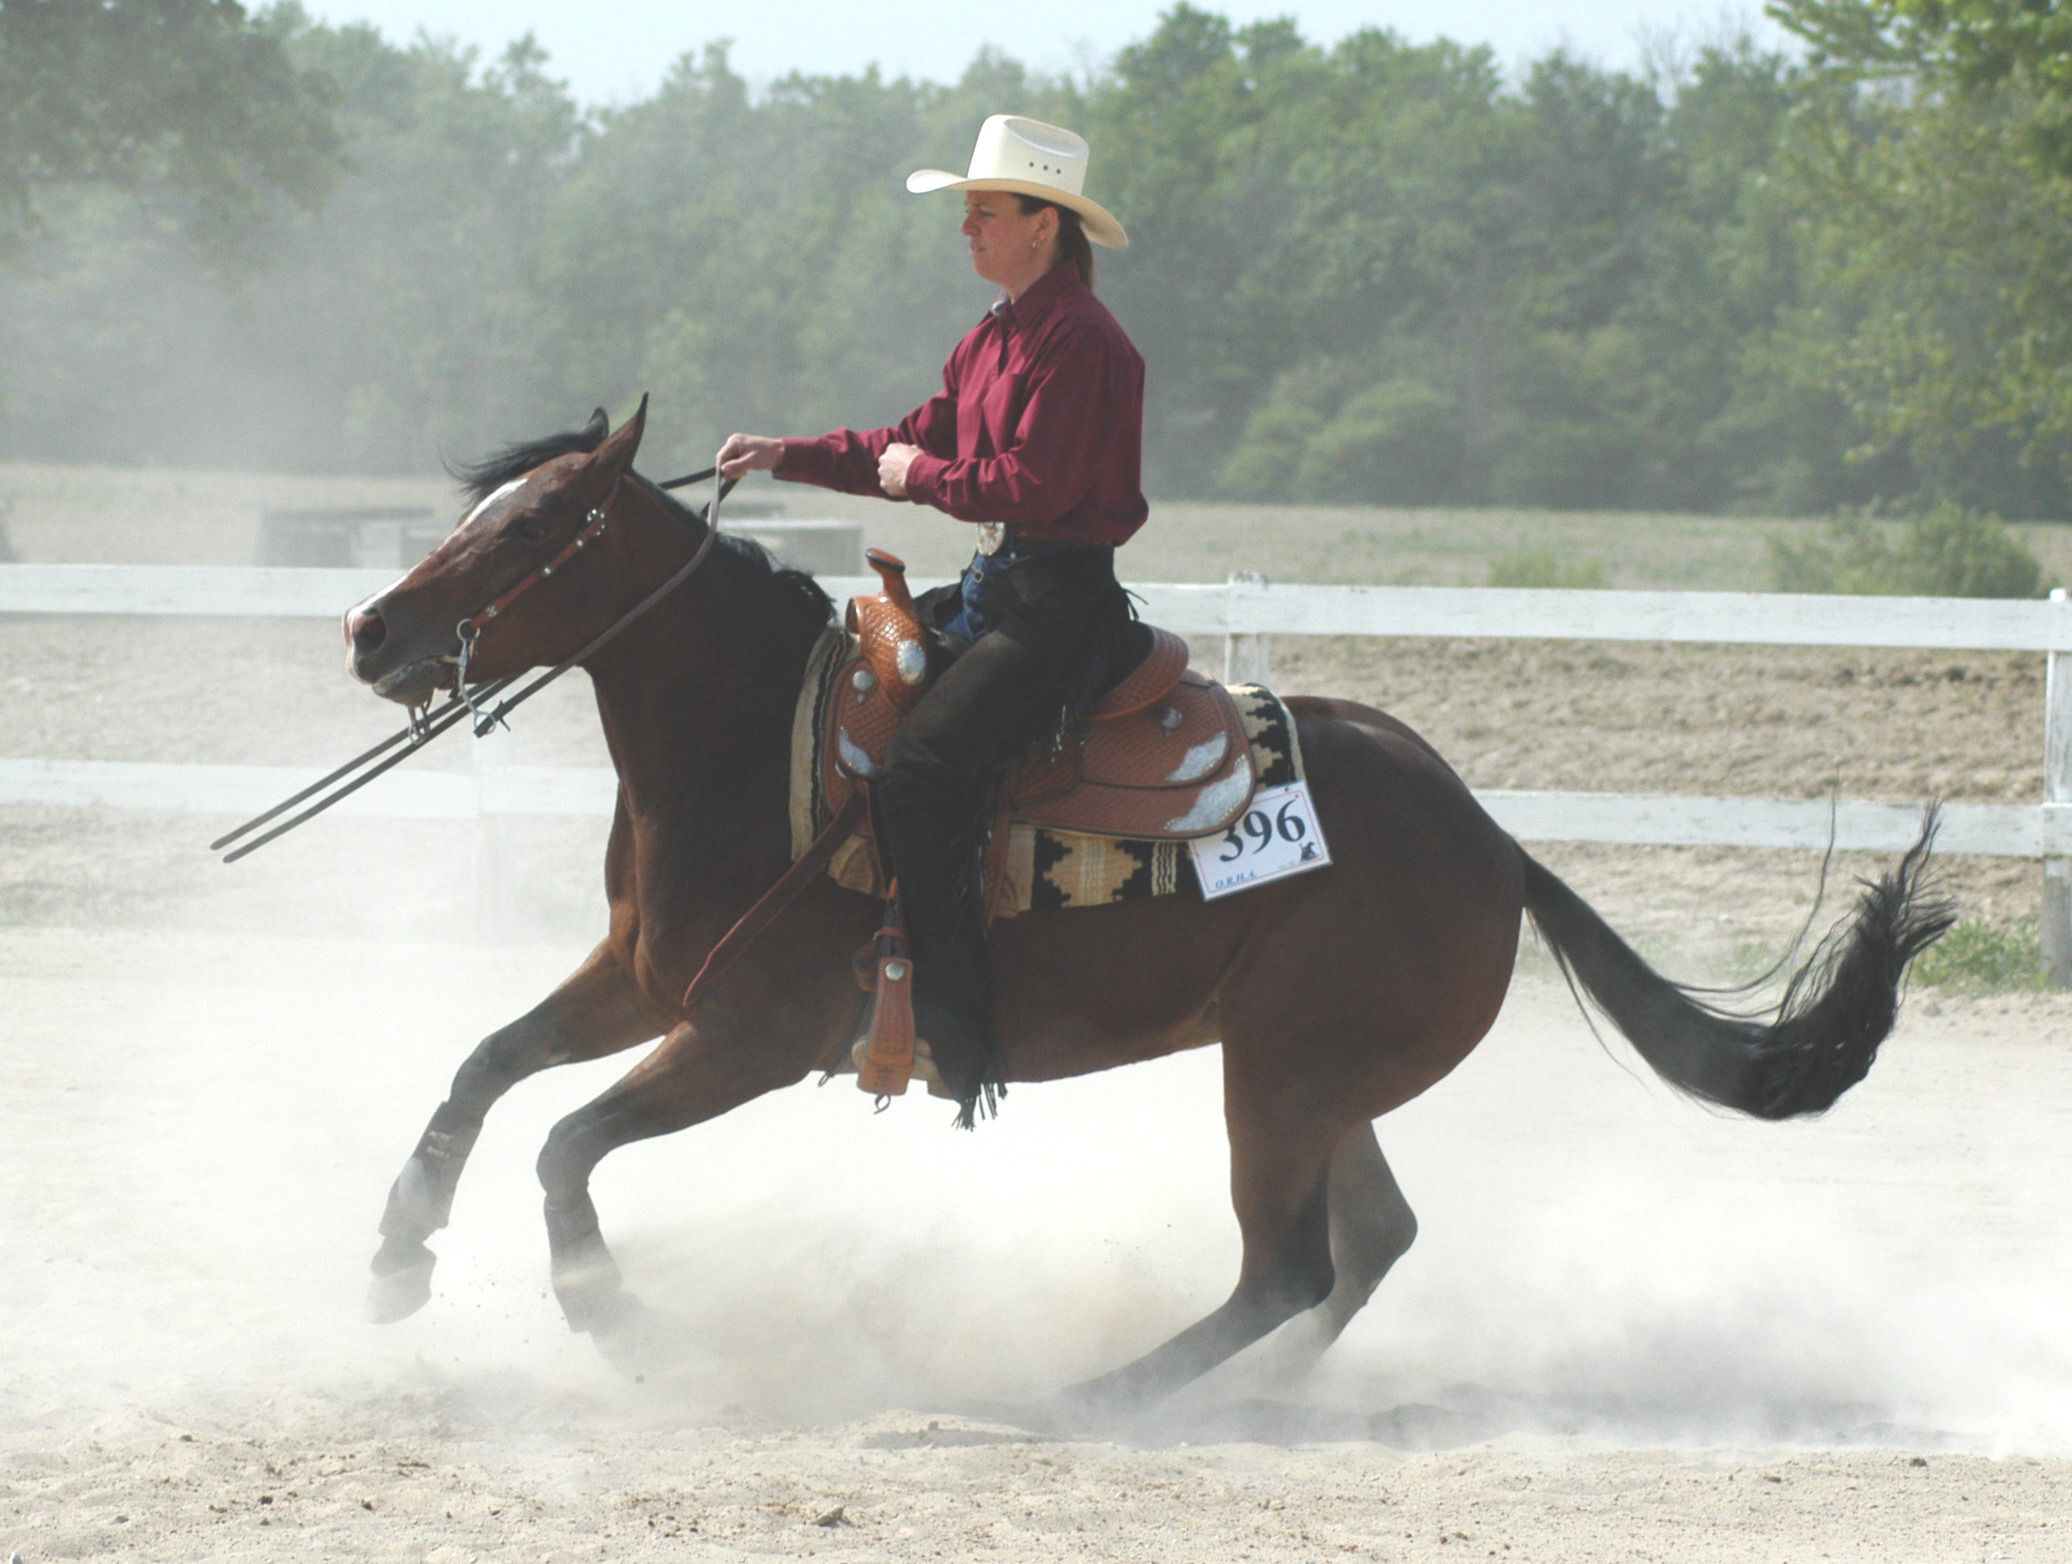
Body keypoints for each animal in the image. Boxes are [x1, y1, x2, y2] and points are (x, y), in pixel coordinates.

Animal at [342, 402, 1950, 1413]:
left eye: (537, 525)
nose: (369, 630)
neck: (757, 749)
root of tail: (1493, 843)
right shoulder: (640, 980)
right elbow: (484, 1068)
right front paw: (396, 1254)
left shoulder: (750, 1035)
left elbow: (566, 1142)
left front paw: (613, 1318)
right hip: (1312, 1076)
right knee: (1366, 1246)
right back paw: (1259, 1400)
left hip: (1280, 1080)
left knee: (1285, 1265)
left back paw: (1093, 1397)